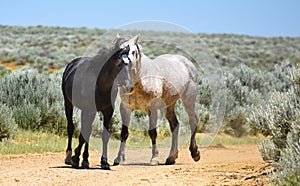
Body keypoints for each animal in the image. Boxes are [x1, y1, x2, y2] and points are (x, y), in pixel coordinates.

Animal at [61, 35, 141, 170]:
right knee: (71, 127)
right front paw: (78, 159)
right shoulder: (89, 110)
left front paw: (104, 162)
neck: (100, 85)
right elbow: (85, 134)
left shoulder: (107, 112)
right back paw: (68, 156)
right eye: (118, 65)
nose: (129, 87)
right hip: (68, 104)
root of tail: (72, 64)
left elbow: (103, 135)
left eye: (130, 63)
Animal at [113, 37, 200, 165]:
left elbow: (152, 133)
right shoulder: (125, 108)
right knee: (175, 125)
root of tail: (188, 63)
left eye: (133, 52)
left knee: (193, 121)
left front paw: (154, 158)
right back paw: (171, 157)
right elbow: (124, 133)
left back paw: (195, 153)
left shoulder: (152, 109)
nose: (124, 64)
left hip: (189, 99)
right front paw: (119, 158)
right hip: (168, 106)